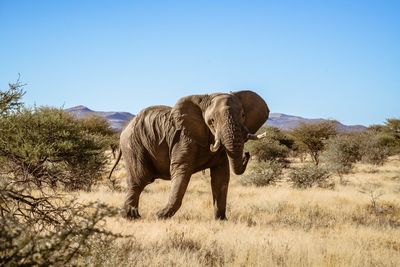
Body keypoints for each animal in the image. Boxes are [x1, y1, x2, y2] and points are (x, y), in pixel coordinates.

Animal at [109, 91, 268, 221]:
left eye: (243, 116)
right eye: (211, 121)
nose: (247, 154)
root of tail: (125, 128)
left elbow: (221, 177)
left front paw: (221, 220)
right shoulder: (184, 139)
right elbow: (181, 170)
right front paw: (160, 216)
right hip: (133, 144)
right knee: (140, 179)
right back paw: (130, 217)